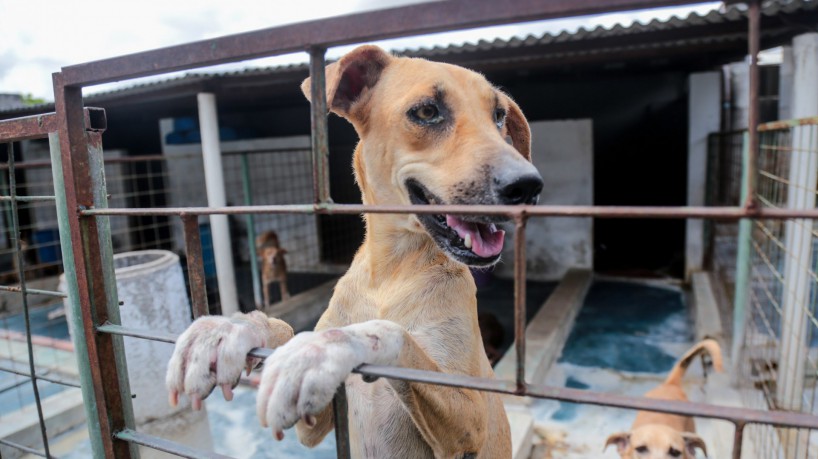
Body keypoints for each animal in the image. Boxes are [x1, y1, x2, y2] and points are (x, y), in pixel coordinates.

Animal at [163, 44, 540, 459]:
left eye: (499, 116)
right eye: (427, 111)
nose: (527, 186)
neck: (392, 272)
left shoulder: (471, 420)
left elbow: (393, 333)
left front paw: (326, 347)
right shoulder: (313, 423)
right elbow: (286, 328)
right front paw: (234, 327)